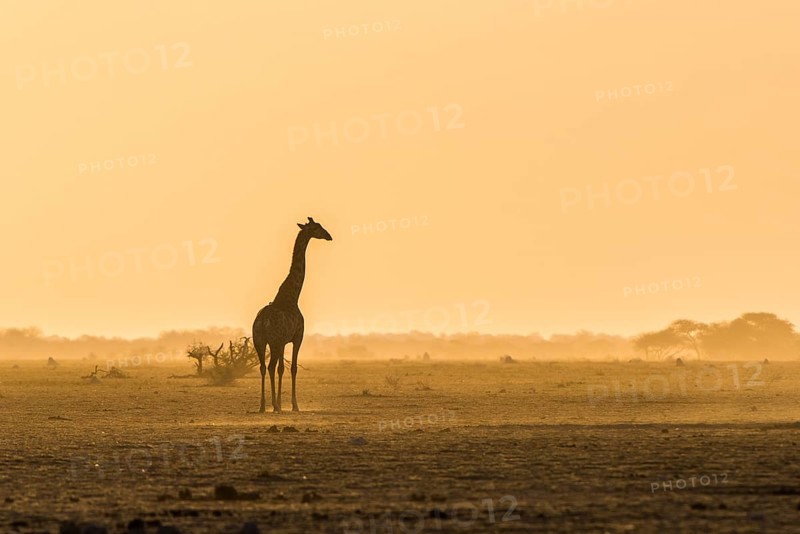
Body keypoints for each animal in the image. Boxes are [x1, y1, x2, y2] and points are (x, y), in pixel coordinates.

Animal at [253, 217, 332, 413]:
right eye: (316, 227)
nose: (329, 236)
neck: (292, 296)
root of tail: (262, 321)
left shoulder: (282, 342)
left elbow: (282, 368)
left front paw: (281, 403)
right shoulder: (297, 337)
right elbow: (293, 368)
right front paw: (293, 405)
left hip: (259, 341)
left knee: (263, 367)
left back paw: (263, 406)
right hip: (273, 342)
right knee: (270, 366)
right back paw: (273, 405)